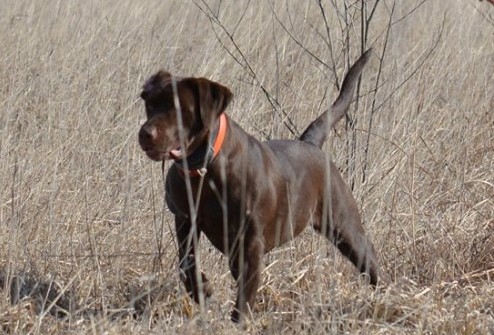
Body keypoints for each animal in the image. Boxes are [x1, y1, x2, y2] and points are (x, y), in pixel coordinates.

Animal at [139, 50, 382, 322]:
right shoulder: (185, 222)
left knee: (369, 260)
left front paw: (239, 321)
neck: (204, 170)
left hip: (345, 226)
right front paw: (203, 290)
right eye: (151, 104)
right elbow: (186, 264)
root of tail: (311, 143)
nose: (145, 133)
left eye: (180, 108)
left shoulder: (250, 242)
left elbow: (245, 292)